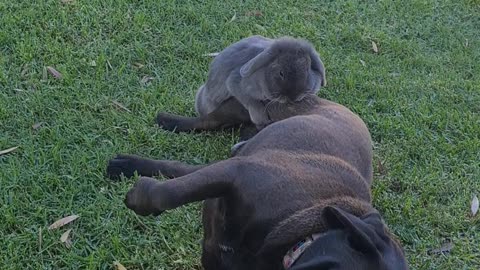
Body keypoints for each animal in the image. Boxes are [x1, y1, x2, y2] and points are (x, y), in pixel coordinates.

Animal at [108, 94, 408, 268]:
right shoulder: (237, 172)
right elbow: (166, 195)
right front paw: (140, 194)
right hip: (252, 110)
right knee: (206, 123)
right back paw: (167, 125)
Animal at [157, 35, 326, 134]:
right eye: (281, 73)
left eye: (307, 69)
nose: (293, 96)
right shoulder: (236, 83)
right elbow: (251, 102)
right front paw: (261, 119)